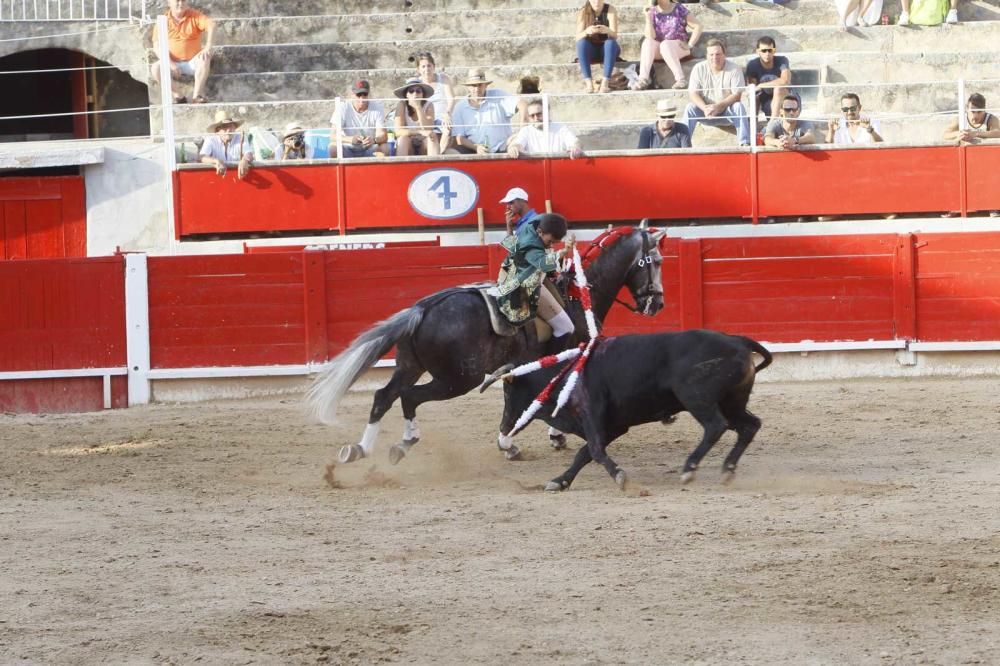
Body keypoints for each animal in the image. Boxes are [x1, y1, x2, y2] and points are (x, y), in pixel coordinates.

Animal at [308, 223, 668, 462]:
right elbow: (545, 395)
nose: (657, 304)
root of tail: (423, 309)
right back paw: (404, 442)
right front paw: (511, 441)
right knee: (409, 396)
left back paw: (361, 449)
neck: (579, 294)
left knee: (385, 396)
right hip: (457, 379)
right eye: (657, 262)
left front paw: (544, 436)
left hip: (410, 365)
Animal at [484, 330, 772, 490]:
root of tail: (737, 341)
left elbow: (594, 451)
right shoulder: (613, 426)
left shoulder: (592, 416)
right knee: (749, 426)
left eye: (507, 392)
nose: (503, 428)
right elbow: (584, 454)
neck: (563, 377)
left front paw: (620, 477)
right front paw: (560, 481)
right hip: (733, 402)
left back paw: (689, 469)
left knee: (716, 426)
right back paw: (727, 470)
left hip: (696, 398)